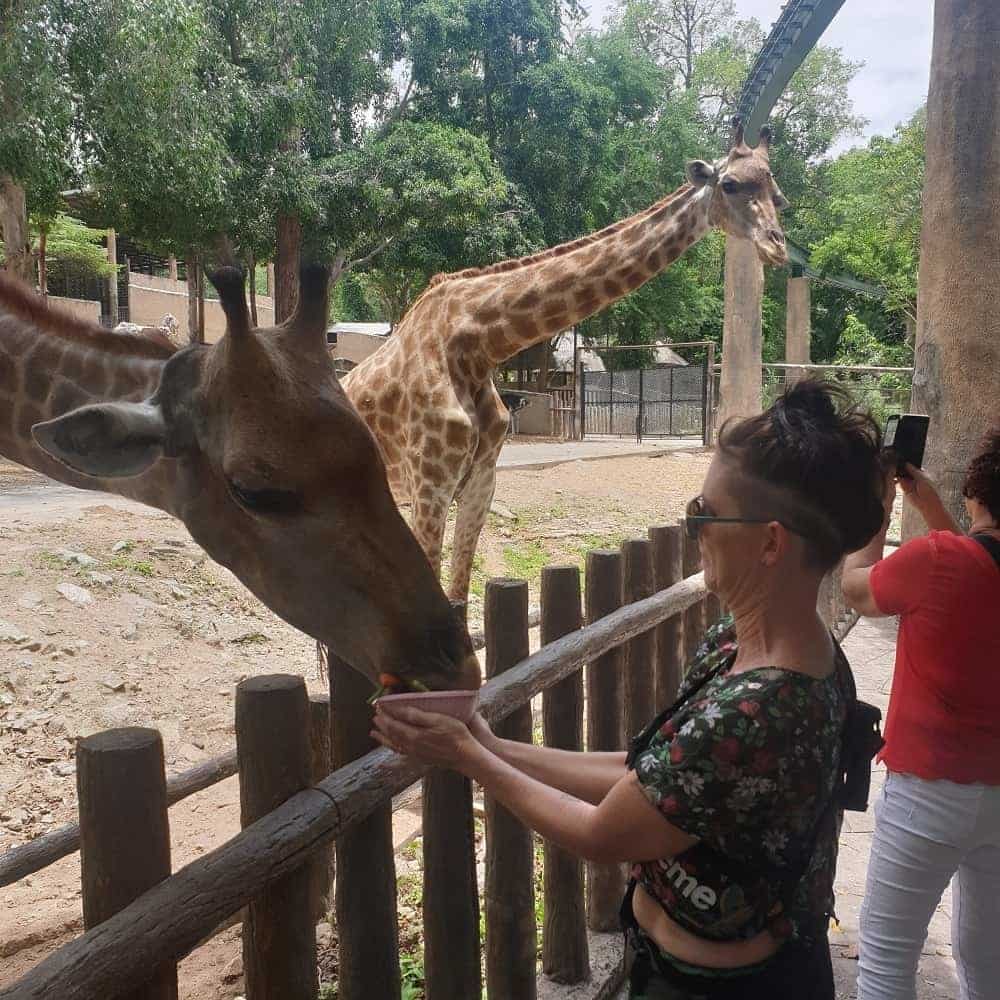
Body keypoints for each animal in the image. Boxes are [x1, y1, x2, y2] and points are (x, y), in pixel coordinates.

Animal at [344, 119, 788, 600]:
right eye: (730, 184)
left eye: (778, 195)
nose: (777, 246)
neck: (476, 346)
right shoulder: (431, 486)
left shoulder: (480, 483)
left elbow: (458, 595)